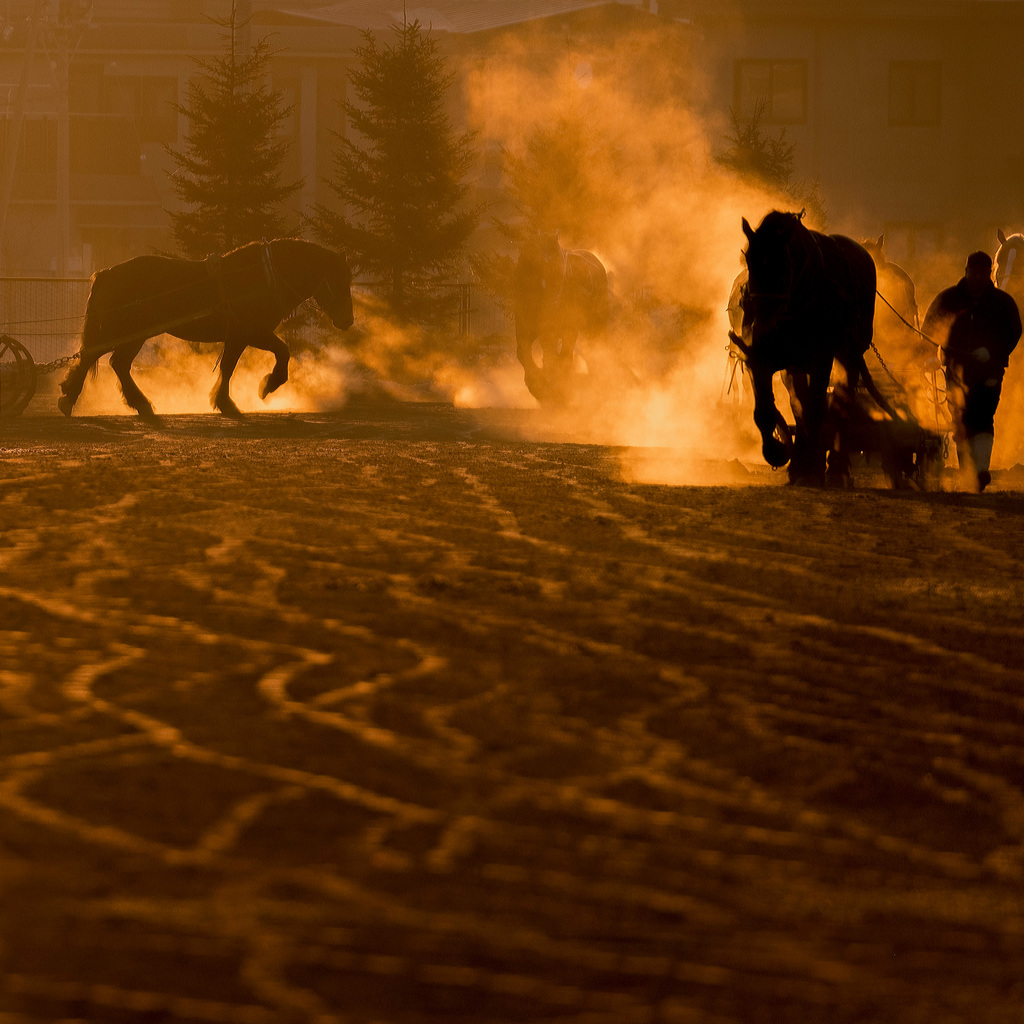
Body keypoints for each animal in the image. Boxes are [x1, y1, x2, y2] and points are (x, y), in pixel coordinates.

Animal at [61, 236, 356, 419]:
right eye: (336, 279)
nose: (347, 320)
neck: (263, 274)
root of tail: (108, 272)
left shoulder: (241, 336)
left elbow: (230, 366)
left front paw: (226, 401)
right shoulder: (249, 332)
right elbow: (277, 354)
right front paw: (264, 387)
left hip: (133, 334)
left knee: (113, 362)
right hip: (125, 331)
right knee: (101, 359)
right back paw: (75, 399)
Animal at [512, 234, 606, 405]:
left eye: (560, 273)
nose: (554, 302)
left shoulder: (562, 329)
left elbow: (558, 357)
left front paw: (556, 391)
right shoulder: (525, 328)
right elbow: (525, 353)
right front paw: (539, 388)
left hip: (592, 326)